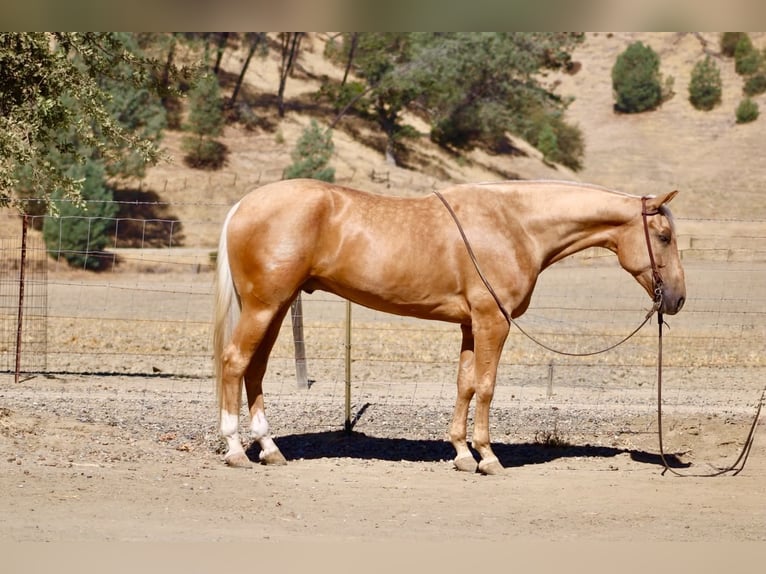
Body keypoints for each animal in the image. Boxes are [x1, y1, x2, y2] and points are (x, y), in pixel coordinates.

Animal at [213, 178, 686, 475]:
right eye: (664, 236)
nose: (678, 299)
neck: (513, 224)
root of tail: (241, 206)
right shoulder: (494, 322)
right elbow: (487, 387)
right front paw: (488, 457)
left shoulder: (471, 325)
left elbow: (465, 384)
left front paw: (461, 453)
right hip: (264, 307)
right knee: (235, 363)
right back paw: (236, 450)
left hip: (276, 309)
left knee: (255, 370)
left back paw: (270, 450)